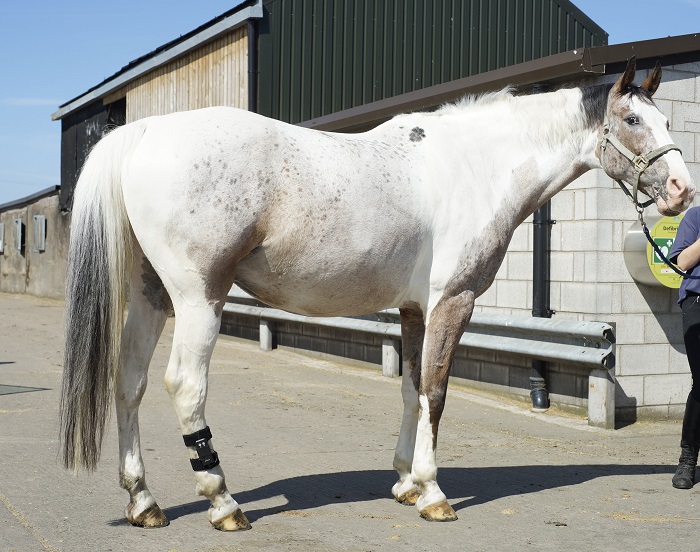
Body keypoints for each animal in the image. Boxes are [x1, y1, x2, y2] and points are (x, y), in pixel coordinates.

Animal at [60, 57, 694, 530]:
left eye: (664, 119)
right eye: (633, 119)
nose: (681, 191)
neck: (475, 164)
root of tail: (146, 130)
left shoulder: (413, 311)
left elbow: (412, 390)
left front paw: (406, 482)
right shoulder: (452, 301)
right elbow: (436, 392)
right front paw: (434, 493)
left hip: (151, 296)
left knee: (129, 382)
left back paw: (144, 502)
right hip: (197, 299)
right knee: (185, 386)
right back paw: (222, 502)